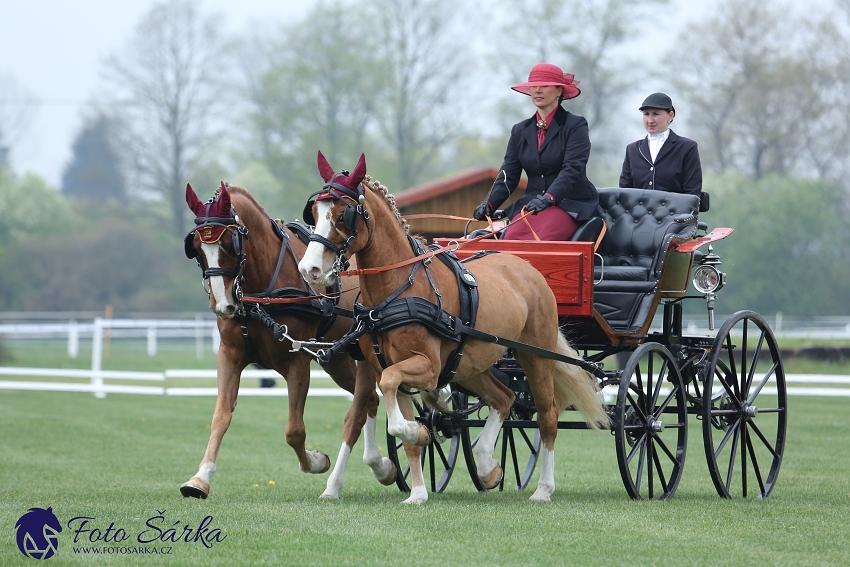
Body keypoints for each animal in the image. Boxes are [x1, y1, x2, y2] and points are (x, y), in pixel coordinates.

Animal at [181, 184, 392, 500]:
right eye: (196, 248)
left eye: (230, 244)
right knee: (371, 400)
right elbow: (220, 417)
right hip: (337, 361)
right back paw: (381, 465)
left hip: (364, 356)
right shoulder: (230, 355)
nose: (223, 305)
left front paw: (316, 461)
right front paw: (200, 478)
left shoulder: (297, 361)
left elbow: (294, 430)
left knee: (364, 403)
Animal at [298, 153, 608, 504]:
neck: (397, 290)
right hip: (470, 364)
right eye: (314, 213)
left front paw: (417, 435)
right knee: (504, 398)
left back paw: (543, 488)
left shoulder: (427, 367)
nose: (309, 269)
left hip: (537, 357)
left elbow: (395, 407)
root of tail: (526, 266)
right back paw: (488, 466)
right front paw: (418, 489)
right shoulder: (386, 365)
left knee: (547, 416)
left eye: (343, 215)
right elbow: (398, 419)